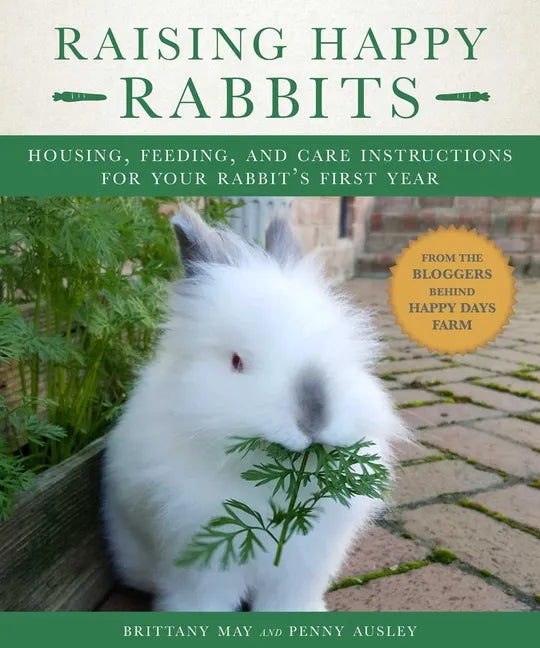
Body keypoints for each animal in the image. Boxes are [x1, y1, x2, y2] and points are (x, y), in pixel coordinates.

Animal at [103, 204, 406, 611]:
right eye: (236, 361)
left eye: (340, 348)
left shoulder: (303, 563)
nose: (314, 413)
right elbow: (202, 598)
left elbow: (287, 597)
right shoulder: (200, 559)